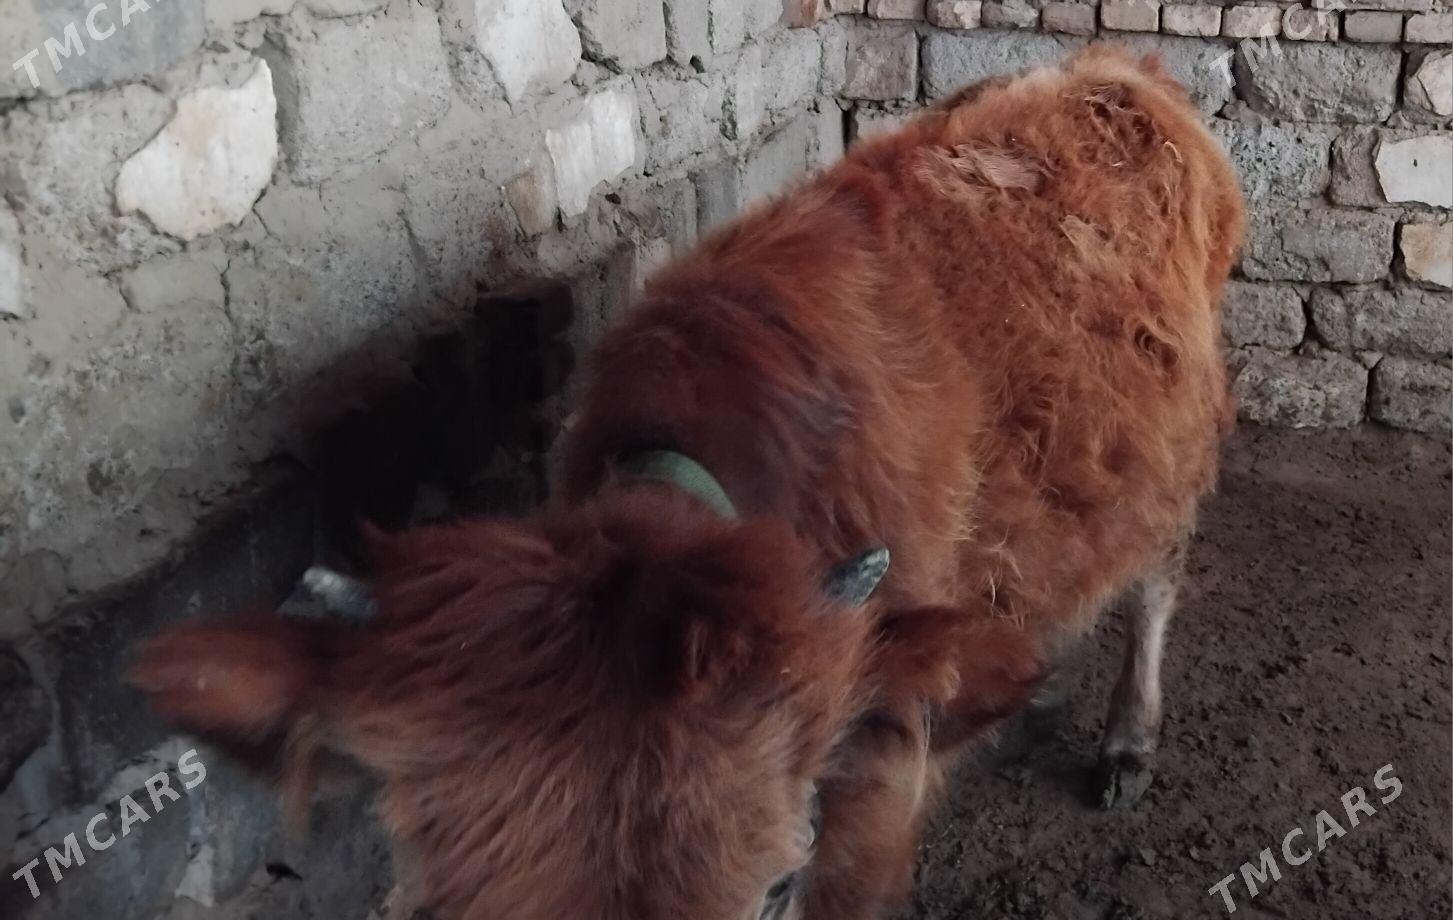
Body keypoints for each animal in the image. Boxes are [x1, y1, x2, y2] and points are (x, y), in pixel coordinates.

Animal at [132, 46, 1244, 920]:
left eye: (773, 888)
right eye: (450, 903)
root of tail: (1113, 68)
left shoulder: (873, 785)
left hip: (1180, 454)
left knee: (1157, 580)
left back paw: (1127, 741)